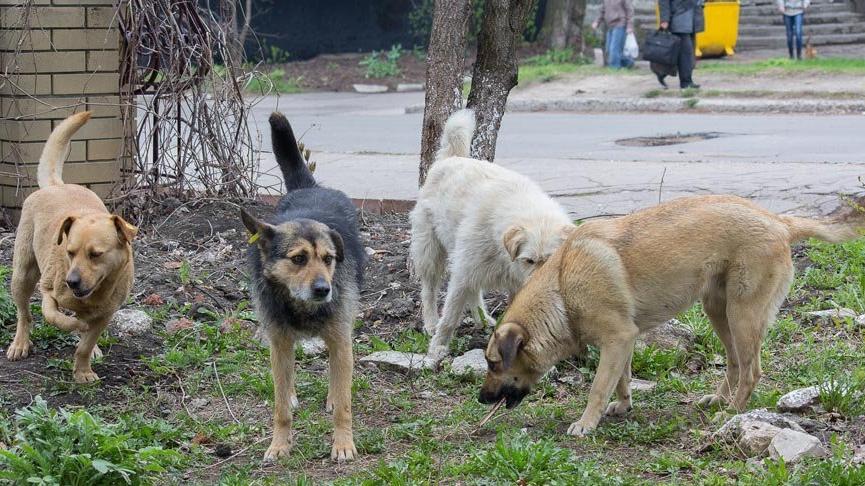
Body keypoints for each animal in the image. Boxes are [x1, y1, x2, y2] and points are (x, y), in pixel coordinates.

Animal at [5, 111, 137, 384]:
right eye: (69, 252)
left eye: (96, 255)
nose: (71, 282)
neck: (93, 295)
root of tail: (56, 185)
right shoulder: (48, 292)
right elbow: (55, 316)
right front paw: (74, 326)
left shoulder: (106, 313)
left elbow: (85, 344)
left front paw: (83, 370)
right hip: (23, 274)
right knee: (24, 314)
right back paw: (20, 343)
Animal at [240, 111, 364, 464]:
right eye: (298, 259)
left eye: (328, 259)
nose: (324, 289)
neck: (301, 306)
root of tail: (310, 188)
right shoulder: (279, 342)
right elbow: (280, 405)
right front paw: (279, 444)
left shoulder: (340, 339)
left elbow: (345, 403)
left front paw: (343, 443)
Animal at [412, 109, 572, 360]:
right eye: (529, 260)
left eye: (551, 260)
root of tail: (451, 158)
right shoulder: (462, 273)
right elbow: (450, 317)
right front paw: (437, 347)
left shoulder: (515, 284)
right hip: (431, 251)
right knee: (429, 289)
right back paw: (430, 322)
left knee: (474, 291)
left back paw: (482, 319)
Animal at [480, 194, 864, 436]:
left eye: (494, 364)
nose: (481, 398)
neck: (562, 288)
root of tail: (779, 221)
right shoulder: (624, 342)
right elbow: (622, 379)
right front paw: (623, 406)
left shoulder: (616, 339)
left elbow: (598, 388)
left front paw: (587, 423)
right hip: (719, 312)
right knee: (735, 363)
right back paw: (720, 398)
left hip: (743, 315)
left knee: (752, 370)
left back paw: (732, 410)